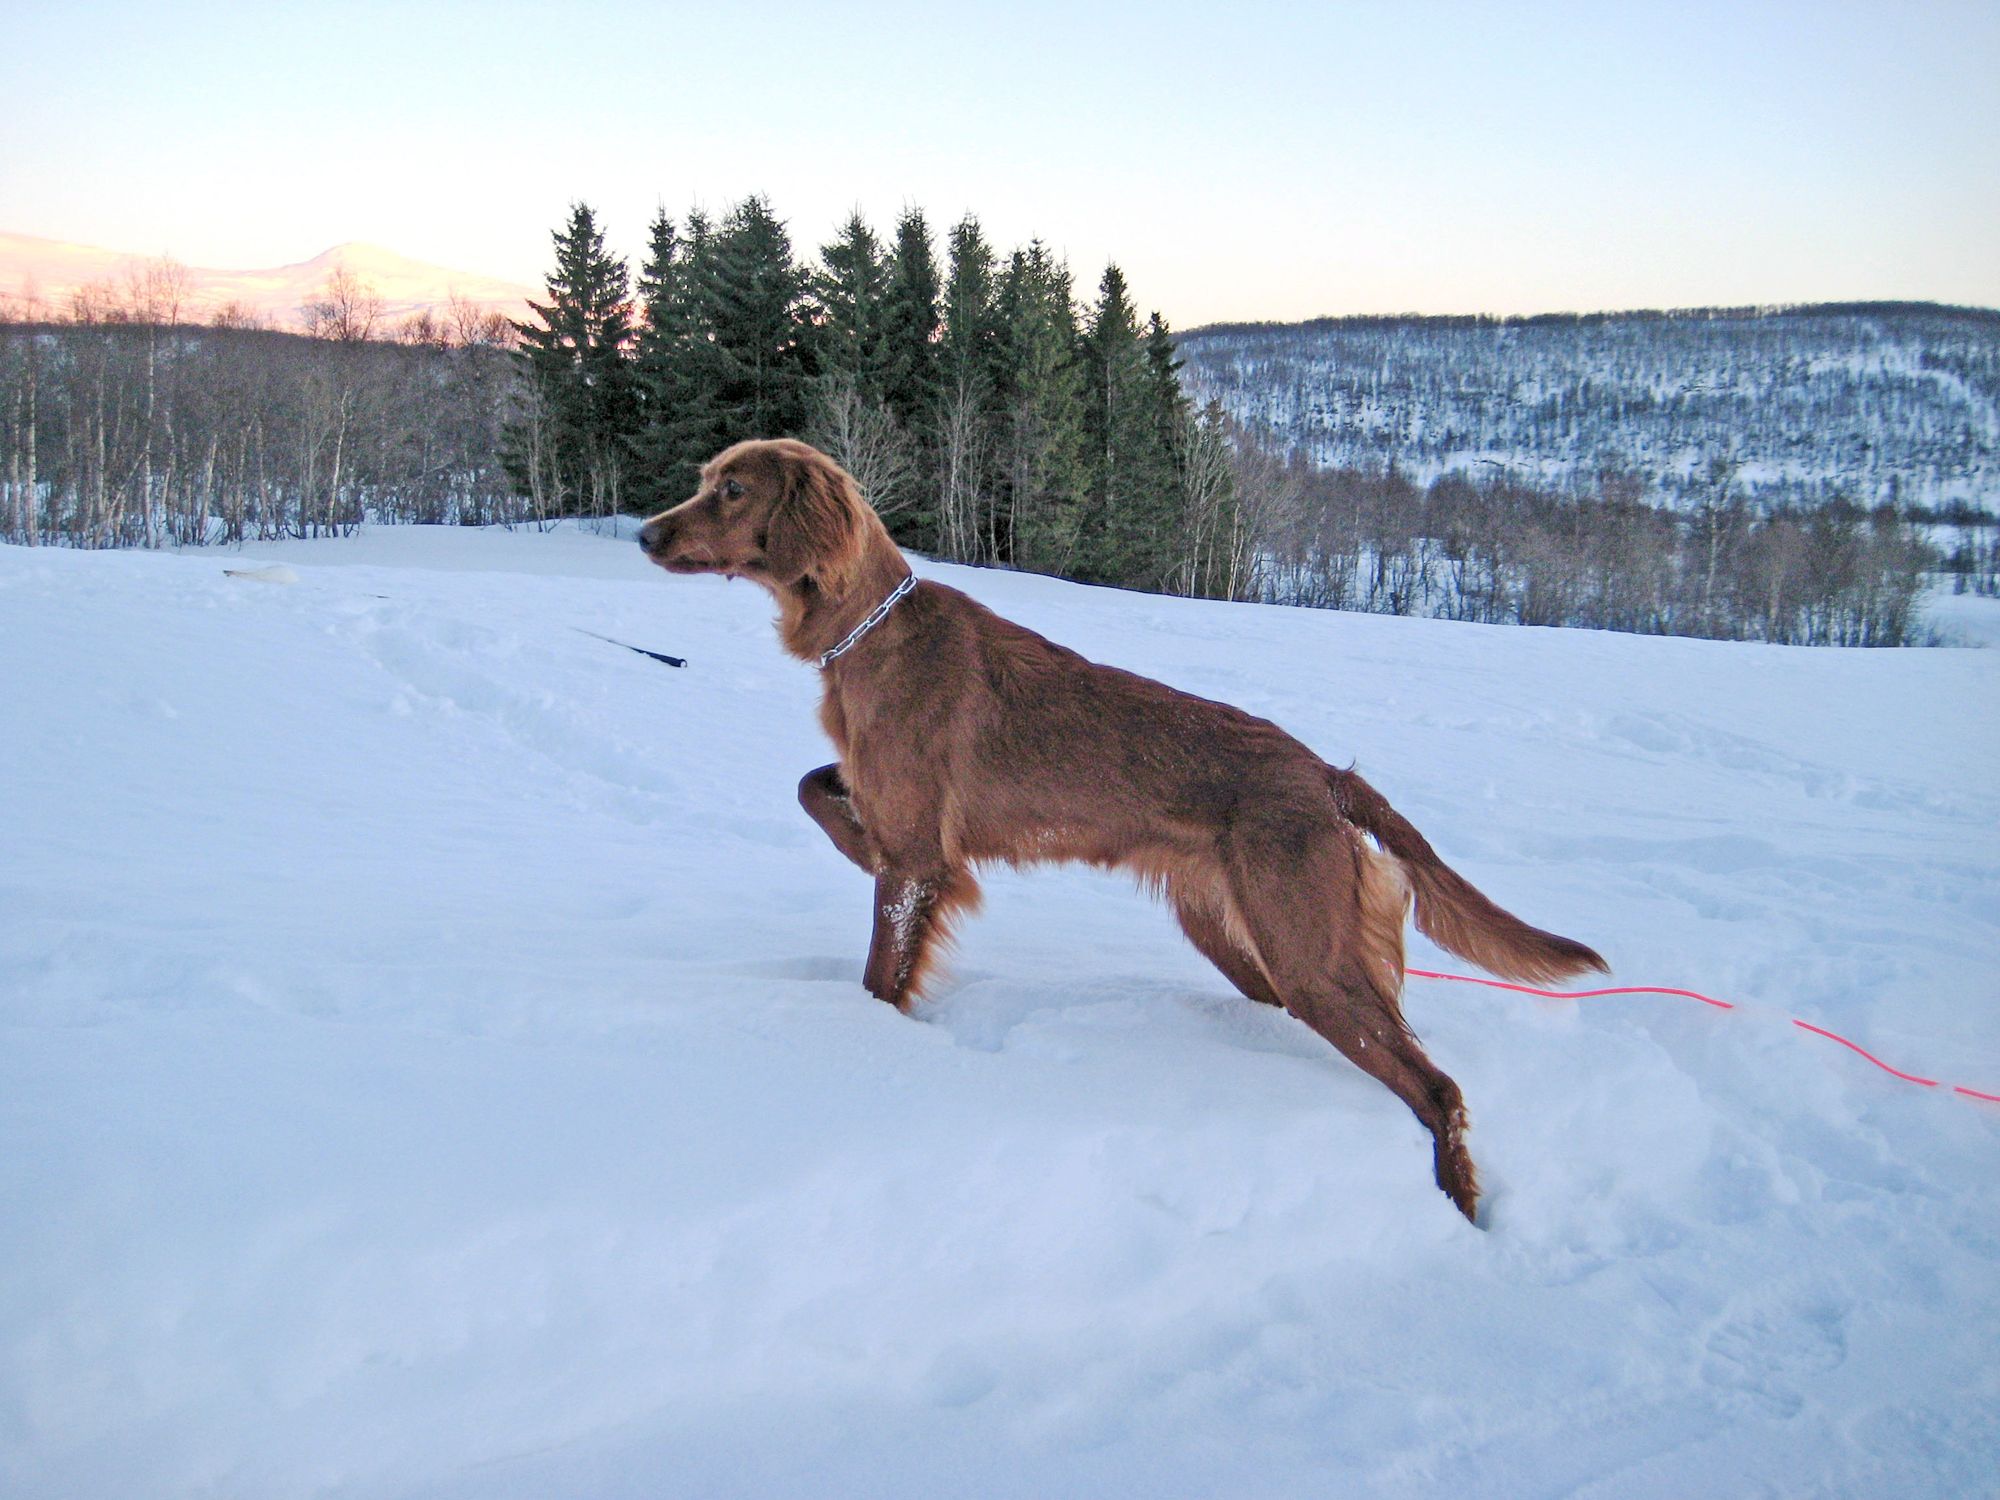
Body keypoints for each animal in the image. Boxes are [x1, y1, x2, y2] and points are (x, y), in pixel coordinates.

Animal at [638, 438, 1606, 1221]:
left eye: (732, 490)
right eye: (706, 481)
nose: (645, 534)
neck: (867, 632)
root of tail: (1325, 775)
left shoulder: (916, 858)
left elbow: (884, 959)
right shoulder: (883, 803)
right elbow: (812, 786)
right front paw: (848, 834)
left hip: (1306, 952)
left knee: (1435, 1086)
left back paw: (1463, 1208)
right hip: (1239, 934)